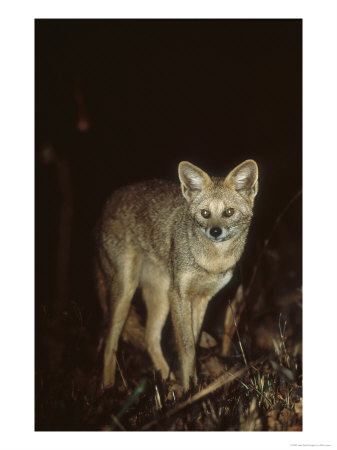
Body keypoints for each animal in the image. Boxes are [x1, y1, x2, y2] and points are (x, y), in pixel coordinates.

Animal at [94, 158, 258, 390]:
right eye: (205, 213)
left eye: (228, 212)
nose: (215, 231)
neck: (210, 264)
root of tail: (106, 204)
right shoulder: (180, 295)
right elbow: (187, 347)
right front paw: (190, 390)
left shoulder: (201, 298)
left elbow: (194, 344)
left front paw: (194, 387)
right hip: (127, 291)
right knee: (110, 342)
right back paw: (108, 389)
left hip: (161, 295)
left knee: (149, 339)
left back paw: (168, 381)